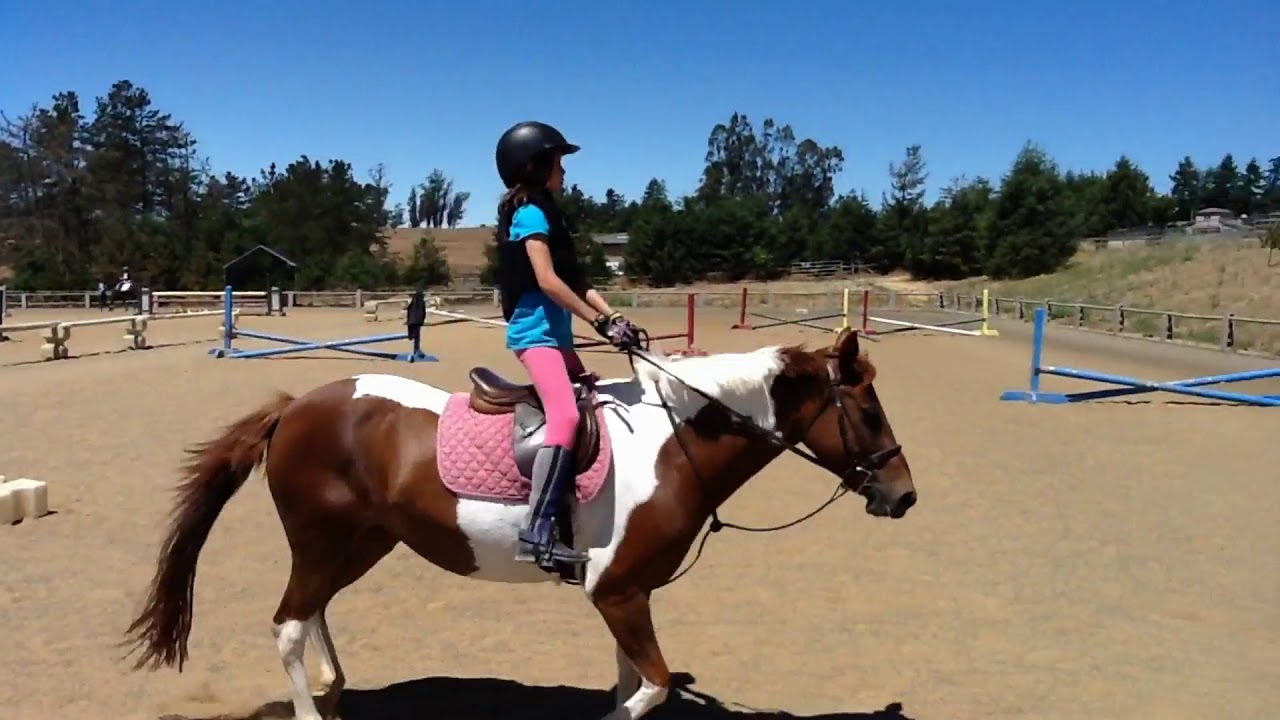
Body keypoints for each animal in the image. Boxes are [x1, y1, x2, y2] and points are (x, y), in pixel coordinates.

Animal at [122, 328, 916, 720]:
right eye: (868, 409)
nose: (903, 496)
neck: (673, 445)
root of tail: (296, 406)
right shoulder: (617, 592)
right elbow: (650, 688)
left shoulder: (626, 595)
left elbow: (632, 681)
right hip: (325, 542)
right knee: (289, 622)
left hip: (360, 544)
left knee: (311, 613)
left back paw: (335, 684)